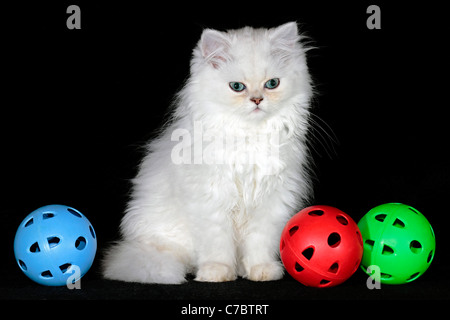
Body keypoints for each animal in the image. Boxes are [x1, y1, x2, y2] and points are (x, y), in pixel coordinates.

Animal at [101, 21, 312, 284]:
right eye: (237, 87)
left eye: (272, 84)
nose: (256, 100)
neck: (249, 136)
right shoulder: (210, 200)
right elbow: (217, 244)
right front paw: (217, 273)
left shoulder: (272, 200)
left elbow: (259, 243)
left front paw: (261, 270)